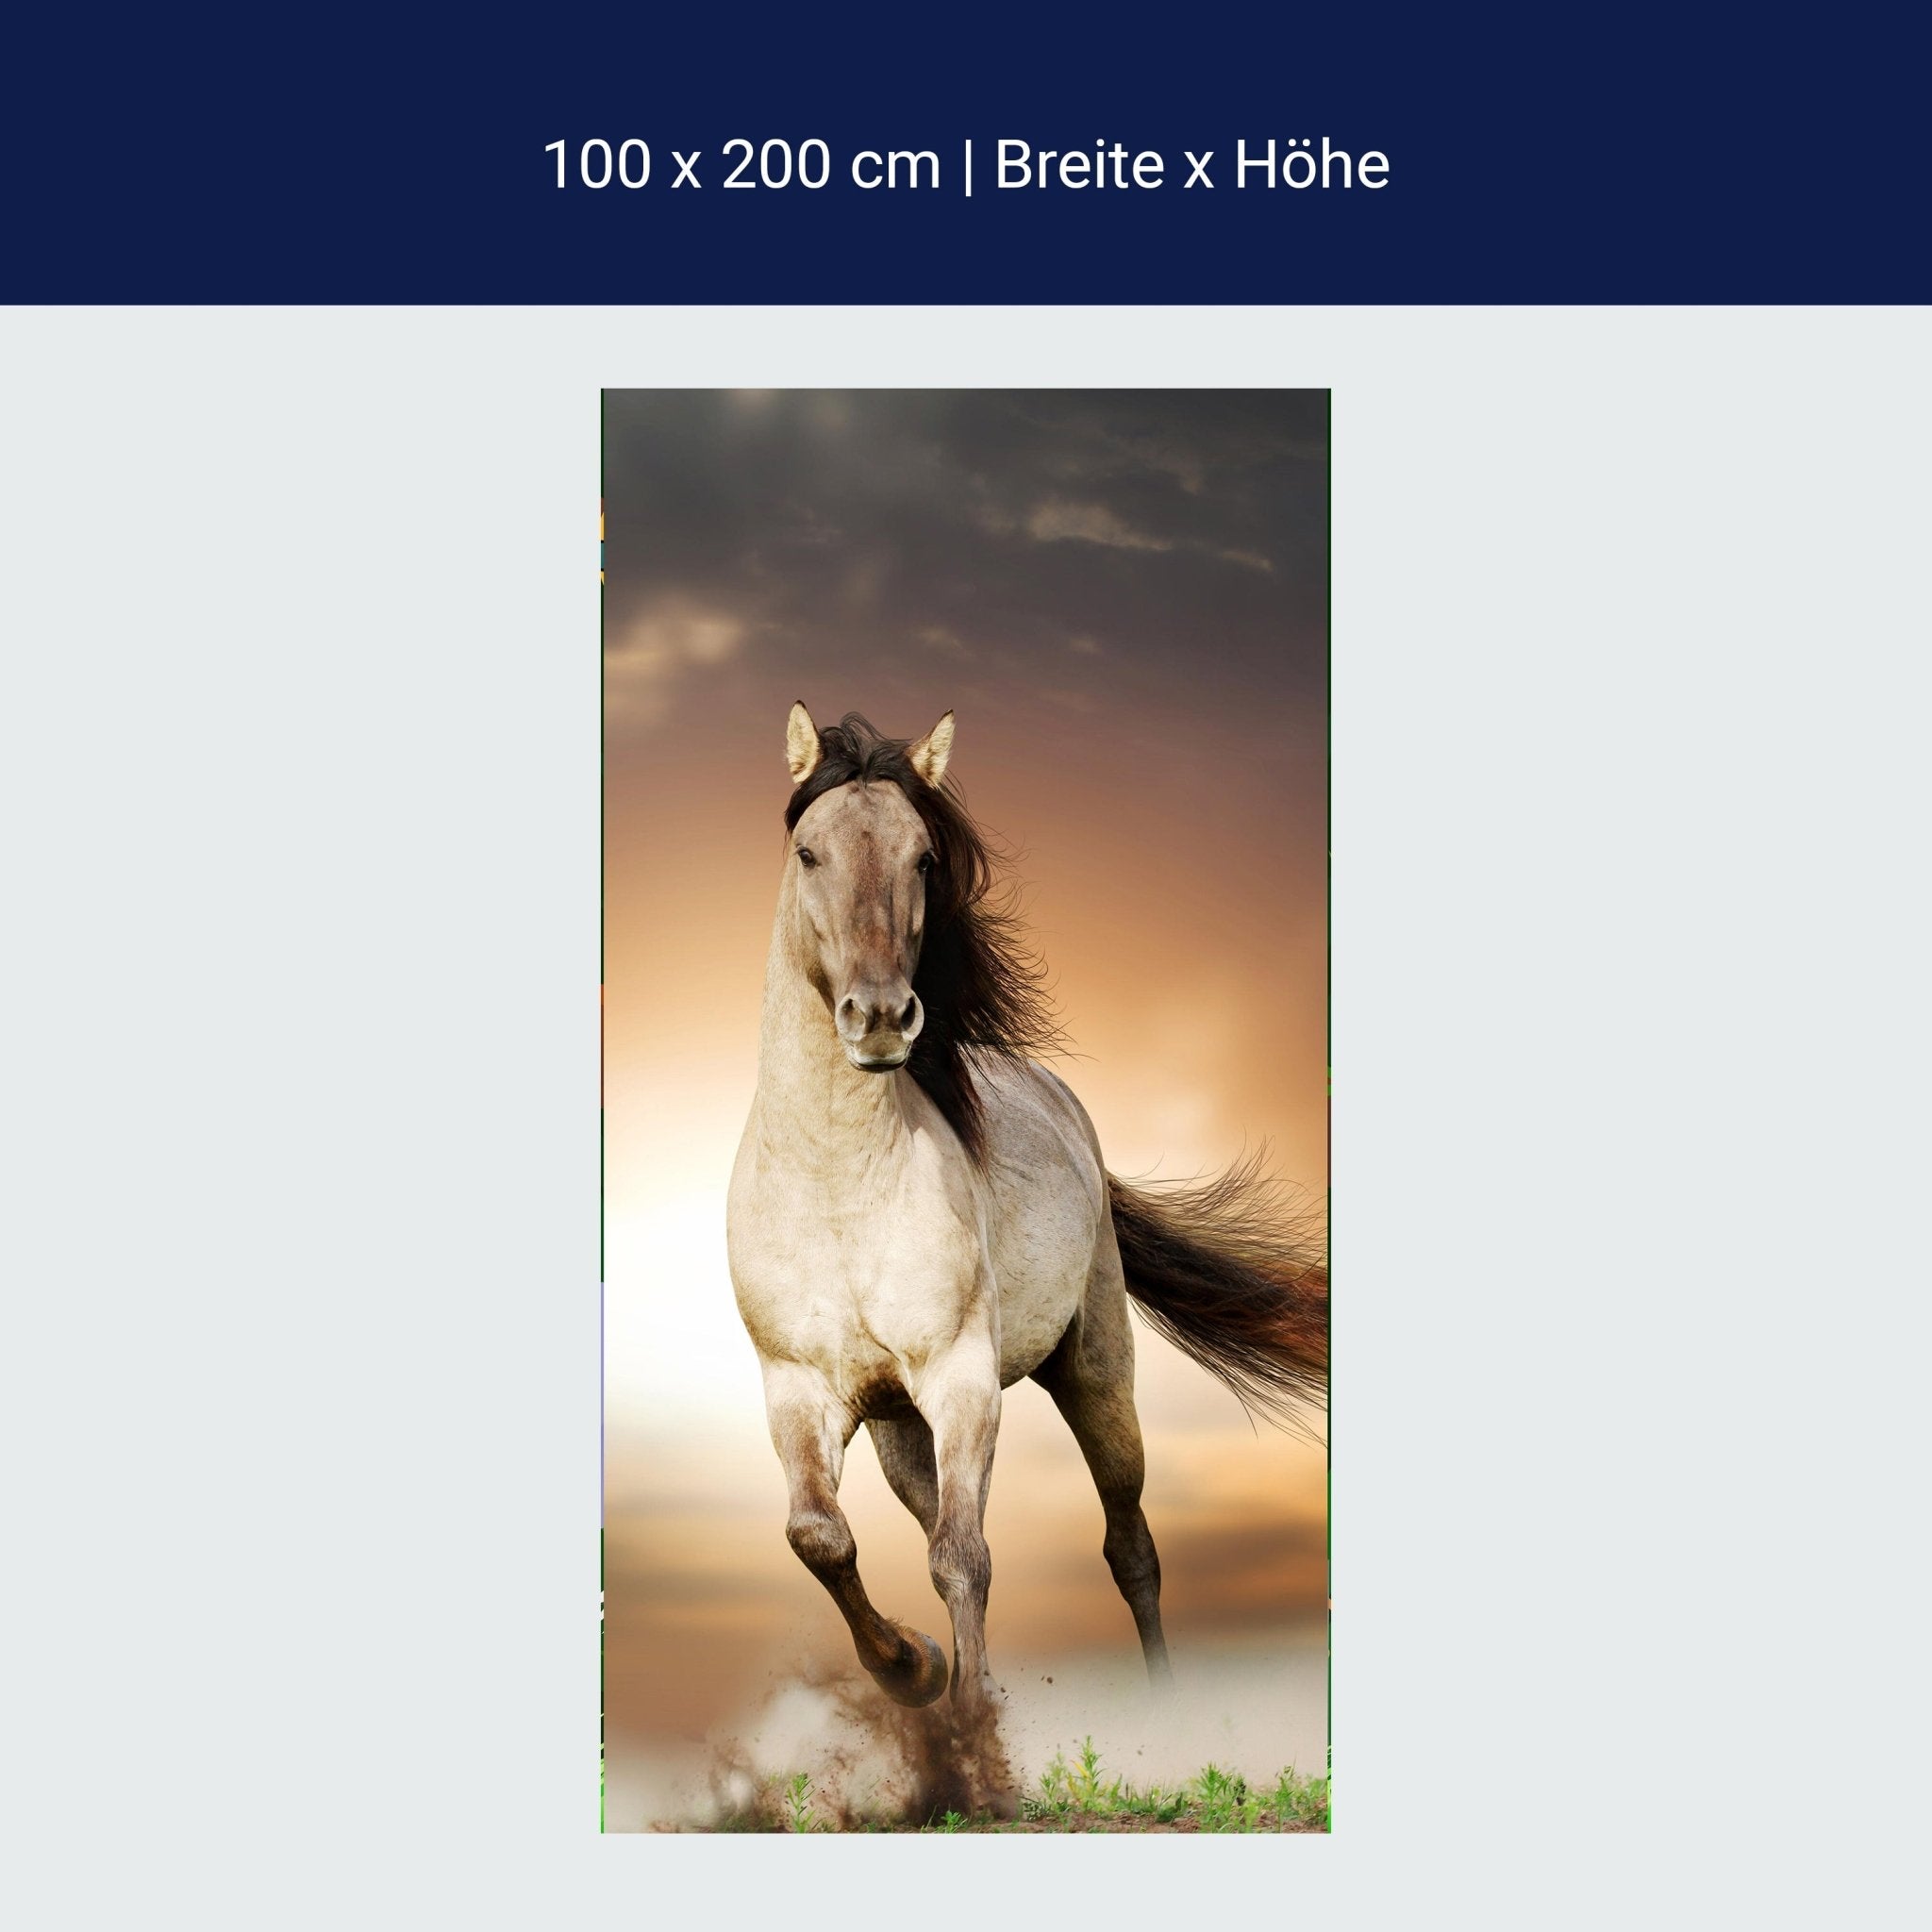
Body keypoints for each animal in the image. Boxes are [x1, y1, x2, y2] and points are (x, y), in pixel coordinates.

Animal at [726, 704, 1328, 1726]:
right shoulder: (800, 1388)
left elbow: (963, 1556)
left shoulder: (962, 1377)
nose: (879, 1018)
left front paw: (970, 1725)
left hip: (1095, 1375)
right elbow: (821, 1536)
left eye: (924, 856)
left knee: (1128, 1544)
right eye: (808, 852)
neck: (838, 1188)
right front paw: (916, 1669)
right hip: (898, 1426)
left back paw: (1162, 1711)